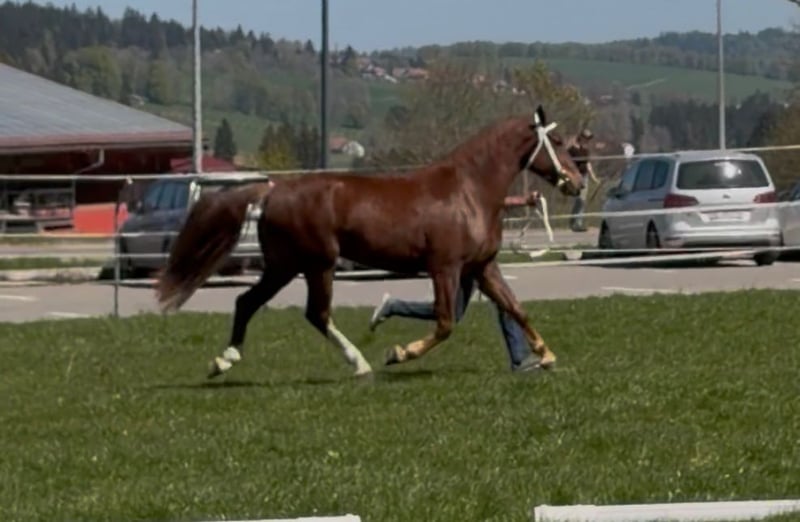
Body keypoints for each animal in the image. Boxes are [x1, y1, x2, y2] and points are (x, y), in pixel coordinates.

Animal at [154, 105, 584, 380]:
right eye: (561, 142)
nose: (577, 182)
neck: (469, 190)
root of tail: (274, 189)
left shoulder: (481, 267)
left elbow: (516, 308)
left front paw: (546, 356)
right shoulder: (444, 267)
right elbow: (445, 323)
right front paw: (398, 354)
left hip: (284, 266)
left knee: (247, 301)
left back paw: (223, 361)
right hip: (317, 264)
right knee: (316, 314)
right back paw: (359, 363)